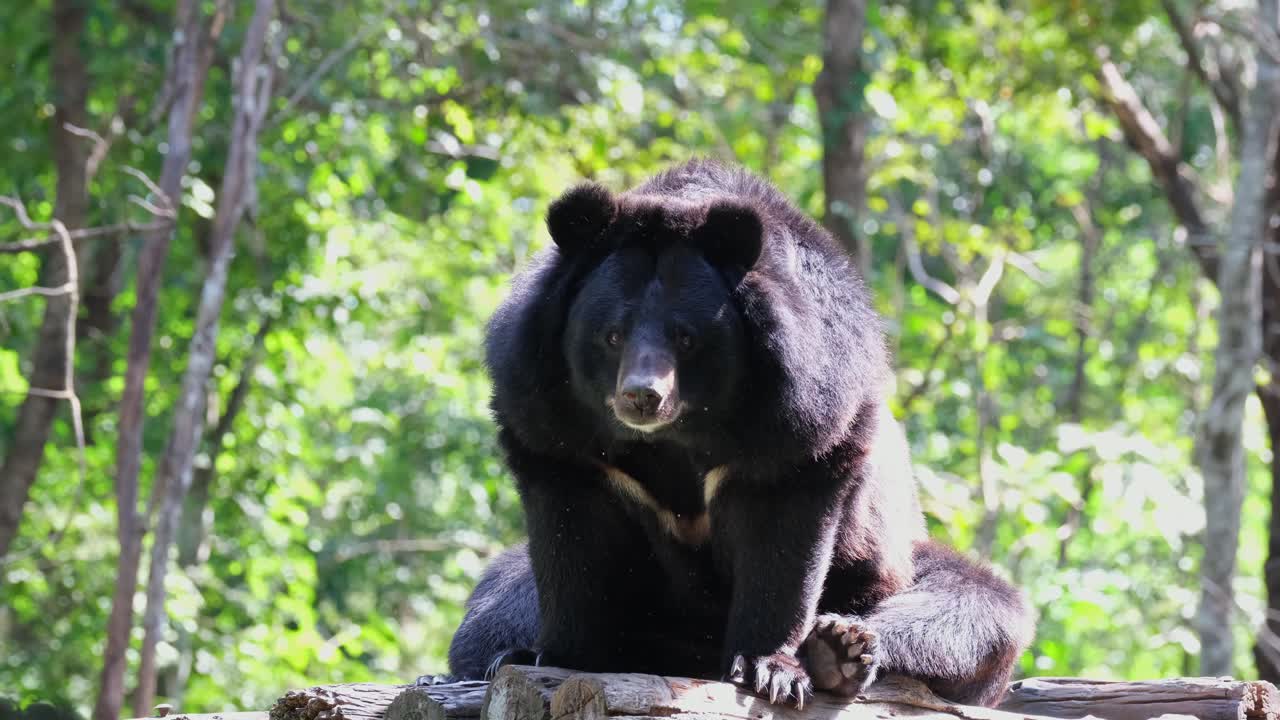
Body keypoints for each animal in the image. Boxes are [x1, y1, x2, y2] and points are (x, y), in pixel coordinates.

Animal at [437, 160, 1034, 707]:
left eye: (685, 336)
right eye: (612, 335)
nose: (642, 397)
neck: (676, 437)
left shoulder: (799, 415)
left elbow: (783, 540)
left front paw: (774, 670)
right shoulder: (549, 417)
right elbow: (569, 536)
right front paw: (558, 655)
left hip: (892, 559)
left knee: (972, 606)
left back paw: (841, 648)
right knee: (493, 612)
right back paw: (507, 653)